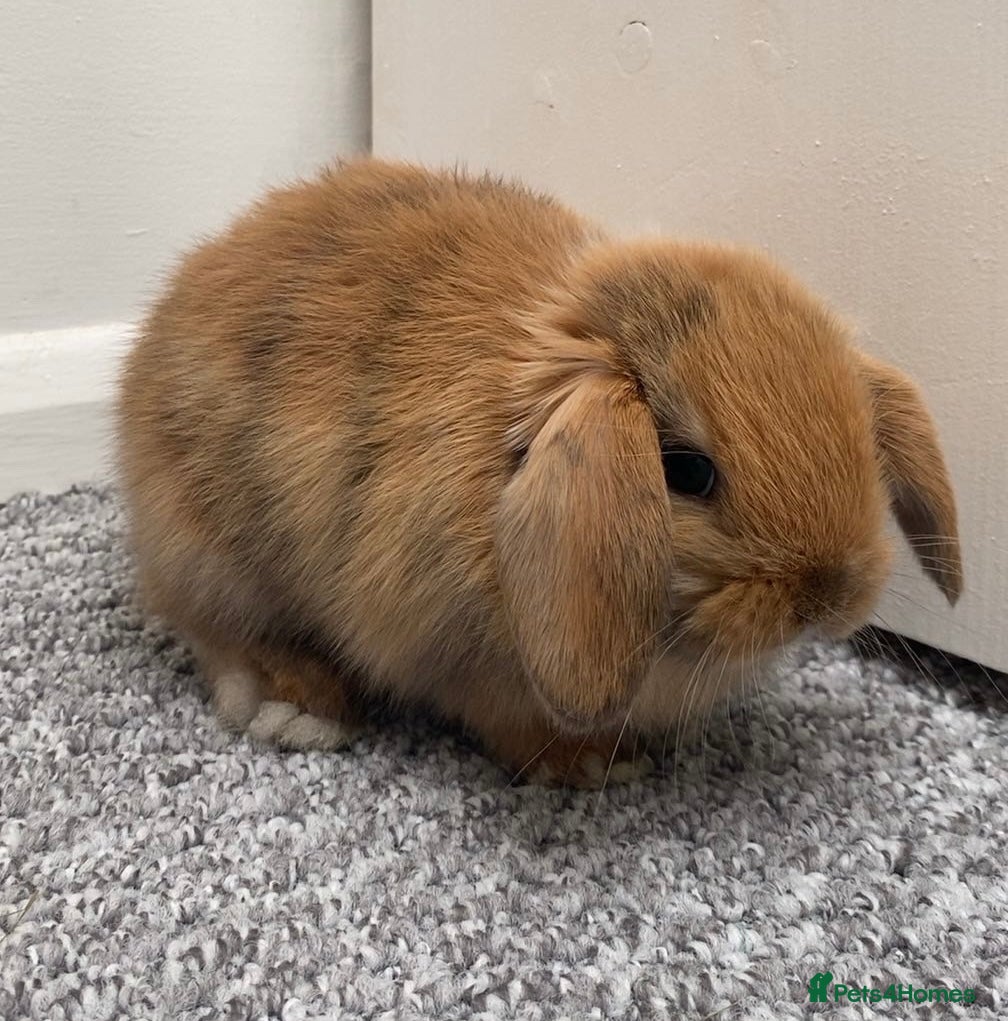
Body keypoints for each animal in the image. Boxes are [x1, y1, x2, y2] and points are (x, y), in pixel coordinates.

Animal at [115, 157, 962, 787]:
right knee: (217, 629)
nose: (827, 597)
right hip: (213, 553)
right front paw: (593, 766)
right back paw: (296, 707)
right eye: (687, 470)